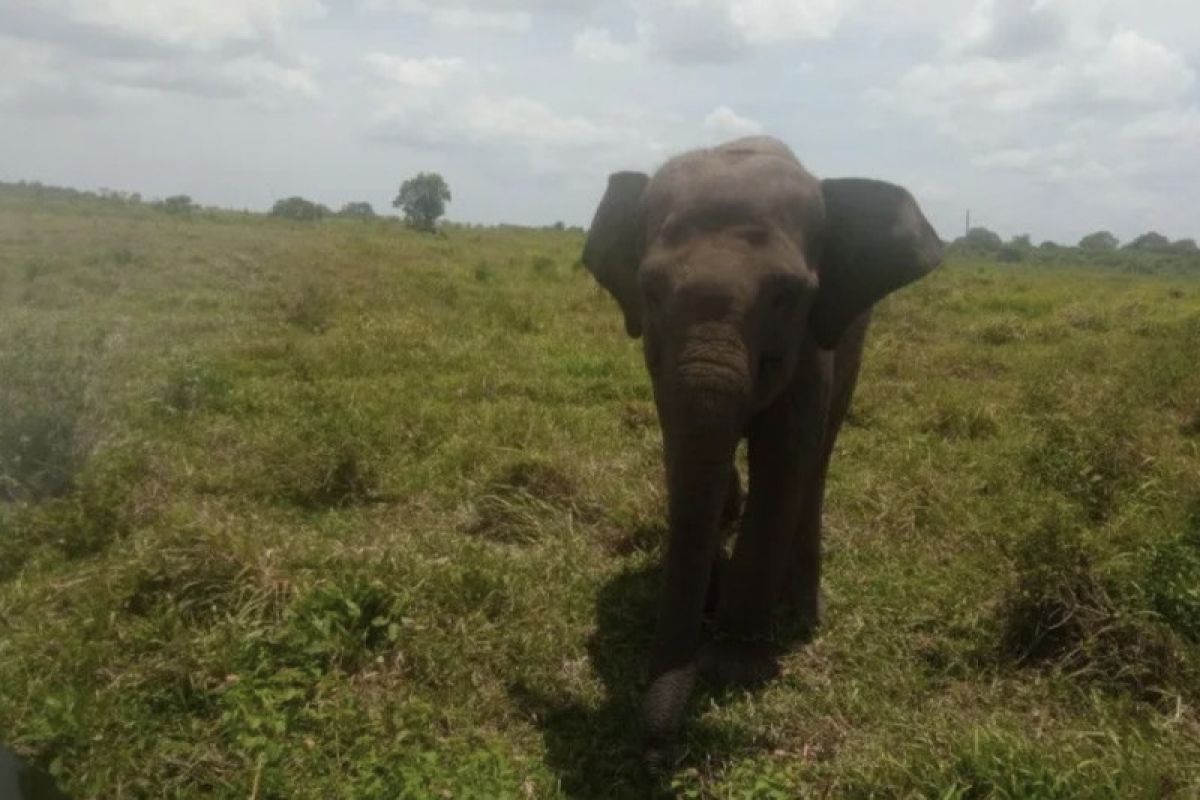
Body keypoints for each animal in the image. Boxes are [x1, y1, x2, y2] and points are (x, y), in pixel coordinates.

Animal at [580, 134, 945, 762]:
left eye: (788, 295)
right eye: (649, 291)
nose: (656, 750)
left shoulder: (811, 344)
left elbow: (784, 457)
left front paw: (731, 665)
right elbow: (686, 444)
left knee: (818, 459)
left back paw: (800, 611)